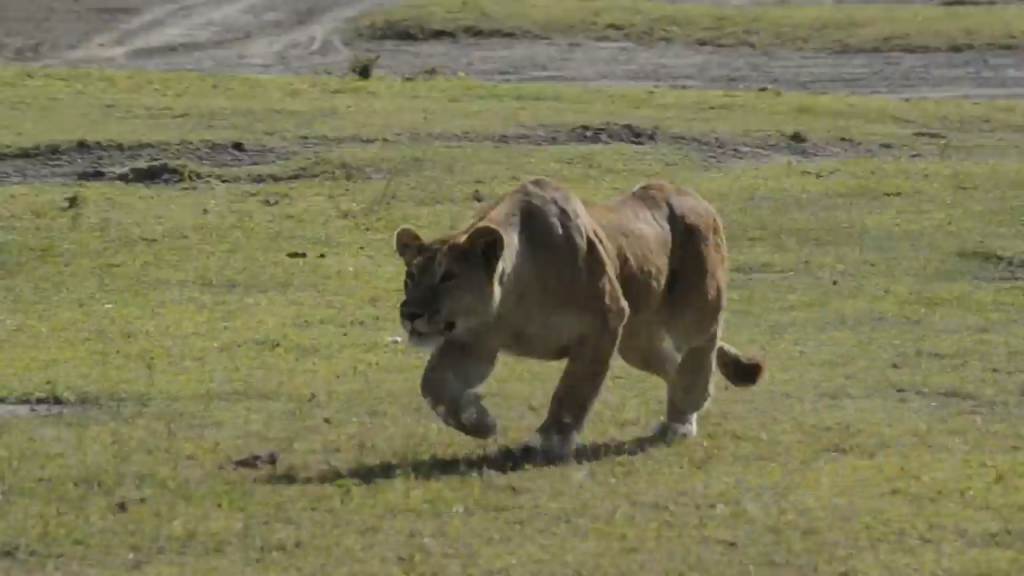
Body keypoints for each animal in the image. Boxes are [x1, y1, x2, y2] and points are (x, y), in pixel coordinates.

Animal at [393, 177, 765, 462]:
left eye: (448, 276)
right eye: (411, 276)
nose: (410, 314)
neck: (515, 291)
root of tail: (694, 196)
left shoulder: (606, 321)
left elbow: (574, 389)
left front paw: (551, 441)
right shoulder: (474, 340)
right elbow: (433, 385)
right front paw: (479, 421)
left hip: (694, 310)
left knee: (701, 349)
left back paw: (683, 417)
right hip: (638, 339)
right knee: (673, 363)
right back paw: (680, 417)